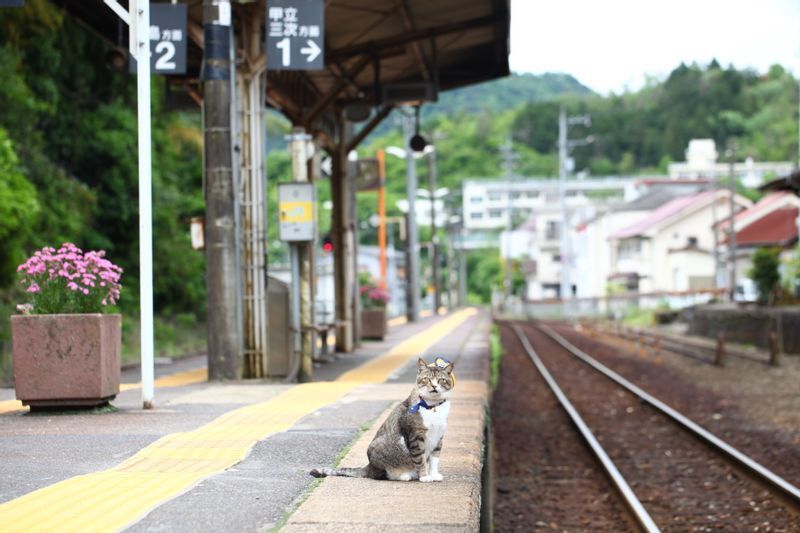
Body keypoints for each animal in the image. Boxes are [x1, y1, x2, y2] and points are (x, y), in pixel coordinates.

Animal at [310, 358, 454, 482]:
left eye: (441, 380)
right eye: (427, 379)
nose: (434, 386)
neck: (433, 407)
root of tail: (369, 466)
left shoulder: (439, 437)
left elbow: (435, 459)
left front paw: (434, 475)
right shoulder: (415, 437)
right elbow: (420, 459)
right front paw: (424, 476)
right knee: (381, 475)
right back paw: (404, 475)